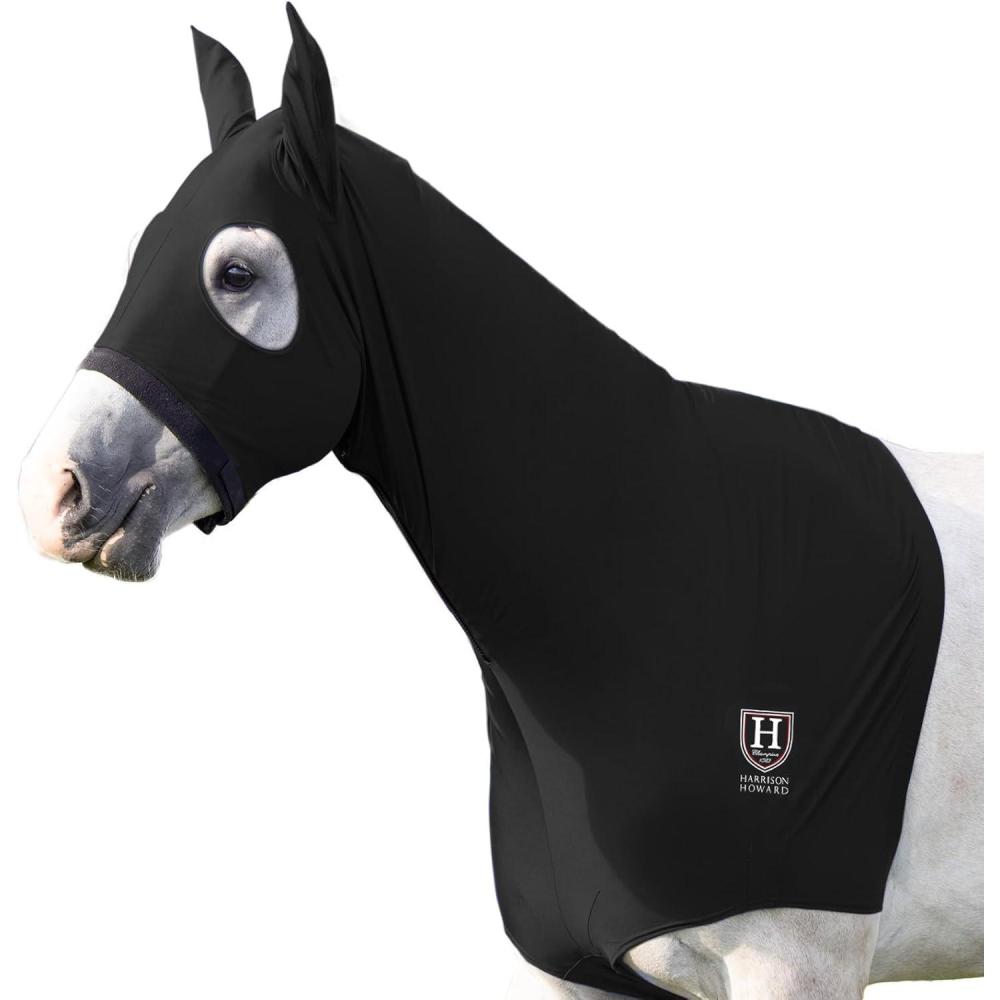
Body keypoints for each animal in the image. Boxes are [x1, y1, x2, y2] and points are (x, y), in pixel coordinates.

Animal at [18, 6, 982, 998]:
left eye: (236, 273)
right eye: (140, 255)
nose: (55, 489)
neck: (663, 567)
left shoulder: (796, 962)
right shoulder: (582, 971)